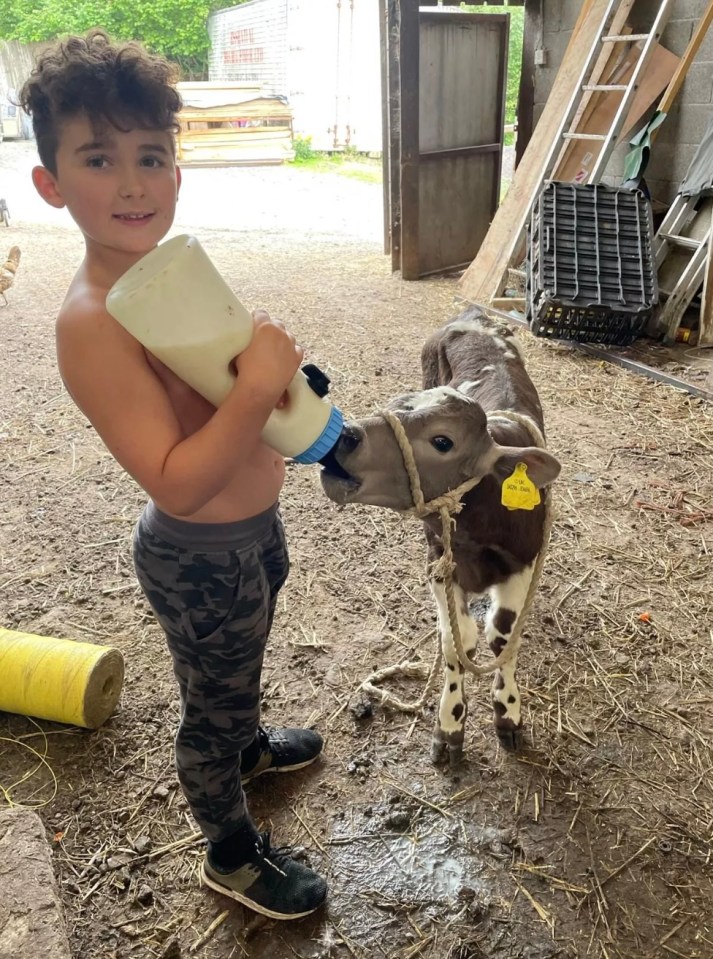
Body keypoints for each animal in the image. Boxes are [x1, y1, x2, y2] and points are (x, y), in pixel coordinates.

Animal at [320, 308, 560, 764]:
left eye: (443, 440)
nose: (345, 435)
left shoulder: (523, 562)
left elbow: (502, 636)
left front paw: (508, 712)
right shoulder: (438, 562)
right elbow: (456, 641)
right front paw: (450, 724)